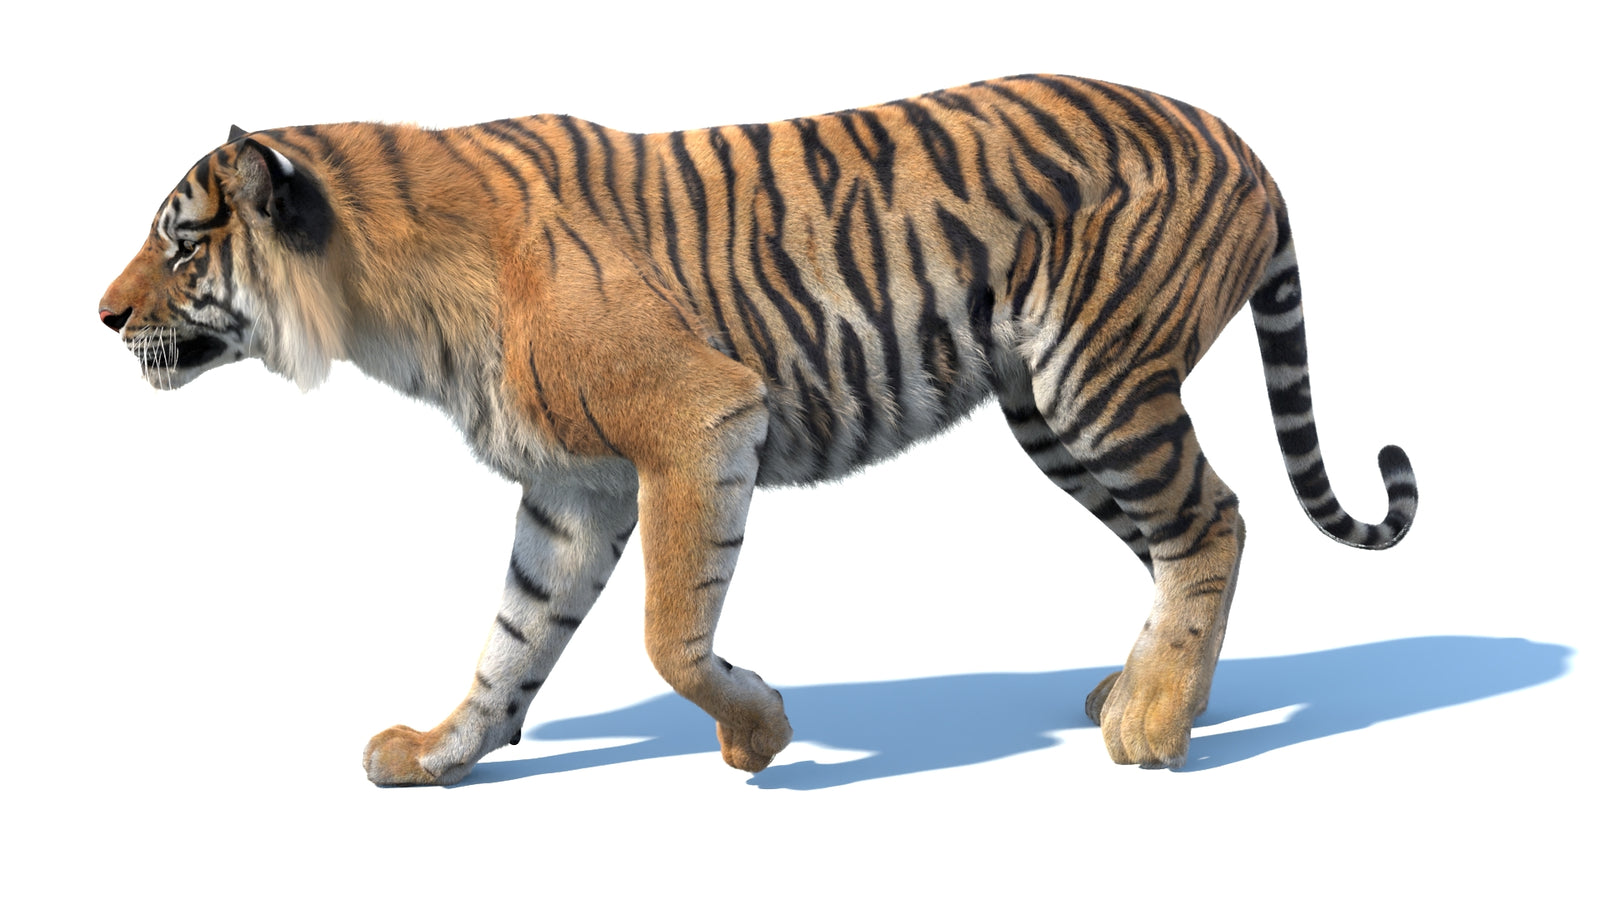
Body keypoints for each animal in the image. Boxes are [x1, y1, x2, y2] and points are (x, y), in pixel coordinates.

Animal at [98, 74, 1417, 785]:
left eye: (180, 242)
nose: (102, 316)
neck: (379, 299)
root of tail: (1243, 142)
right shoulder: (571, 491)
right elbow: (512, 638)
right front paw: (437, 753)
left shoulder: (697, 423)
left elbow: (668, 635)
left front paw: (760, 734)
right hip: (1054, 409)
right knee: (1181, 536)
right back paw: (1142, 691)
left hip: (1095, 379)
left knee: (1215, 523)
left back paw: (1150, 724)